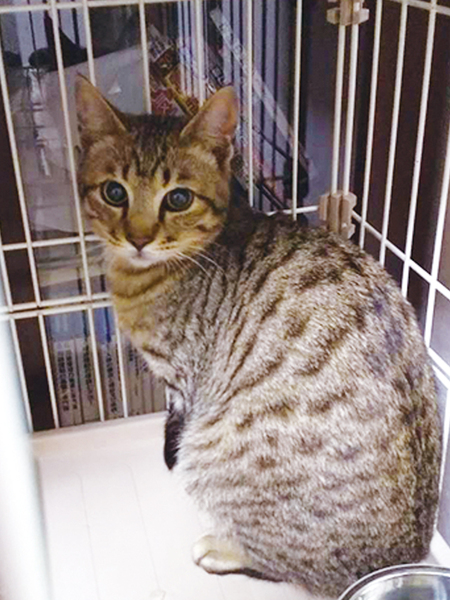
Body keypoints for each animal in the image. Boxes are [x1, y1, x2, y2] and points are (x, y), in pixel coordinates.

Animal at [75, 76, 441, 598]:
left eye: (178, 199)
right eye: (113, 192)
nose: (139, 238)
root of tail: (398, 556)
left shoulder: (184, 377)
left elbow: (176, 420)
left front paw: (169, 452)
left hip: (217, 455)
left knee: (286, 564)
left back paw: (221, 549)